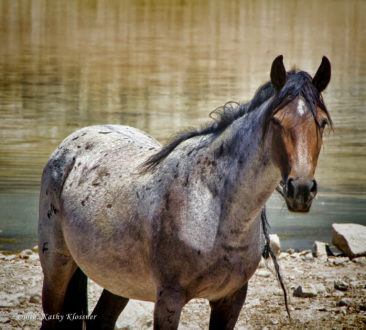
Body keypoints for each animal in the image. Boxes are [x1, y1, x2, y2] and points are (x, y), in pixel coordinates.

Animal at [38, 55, 332, 328]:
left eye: (323, 122)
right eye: (276, 120)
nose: (301, 189)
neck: (213, 204)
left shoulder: (231, 300)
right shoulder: (169, 300)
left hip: (119, 279)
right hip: (57, 268)